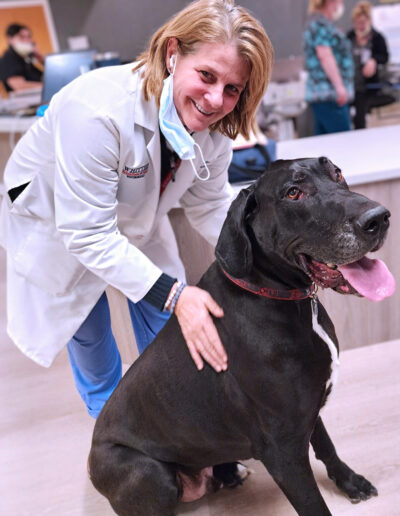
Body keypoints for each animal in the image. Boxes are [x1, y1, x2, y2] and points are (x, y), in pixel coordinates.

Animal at [88, 157, 394, 516]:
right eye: (293, 193)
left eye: (338, 173)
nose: (378, 218)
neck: (274, 292)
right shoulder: (283, 454)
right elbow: (314, 505)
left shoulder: (307, 409)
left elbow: (326, 445)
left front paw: (350, 482)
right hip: (147, 471)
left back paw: (230, 471)